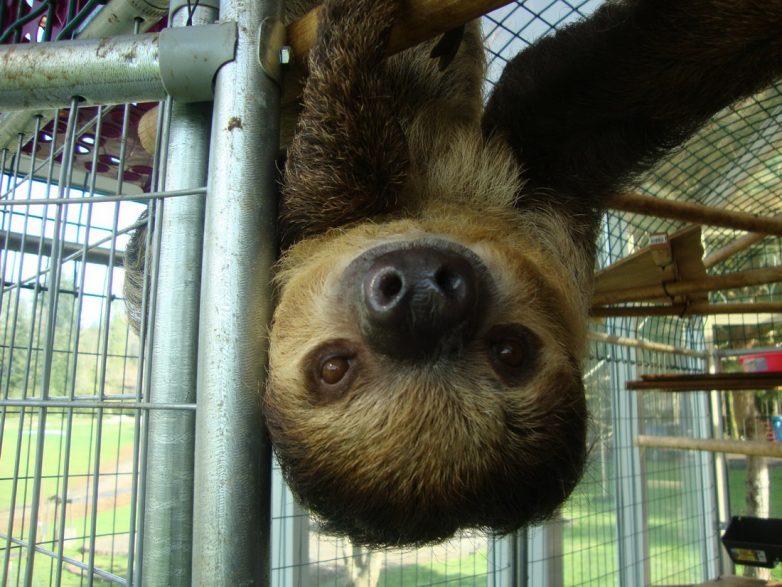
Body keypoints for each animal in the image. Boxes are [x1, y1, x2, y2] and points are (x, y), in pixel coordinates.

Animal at [125, 0, 782, 548]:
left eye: (510, 351)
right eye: (332, 369)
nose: (420, 298)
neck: (431, 202)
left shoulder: (552, 204)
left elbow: (616, 78)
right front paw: (351, 59)